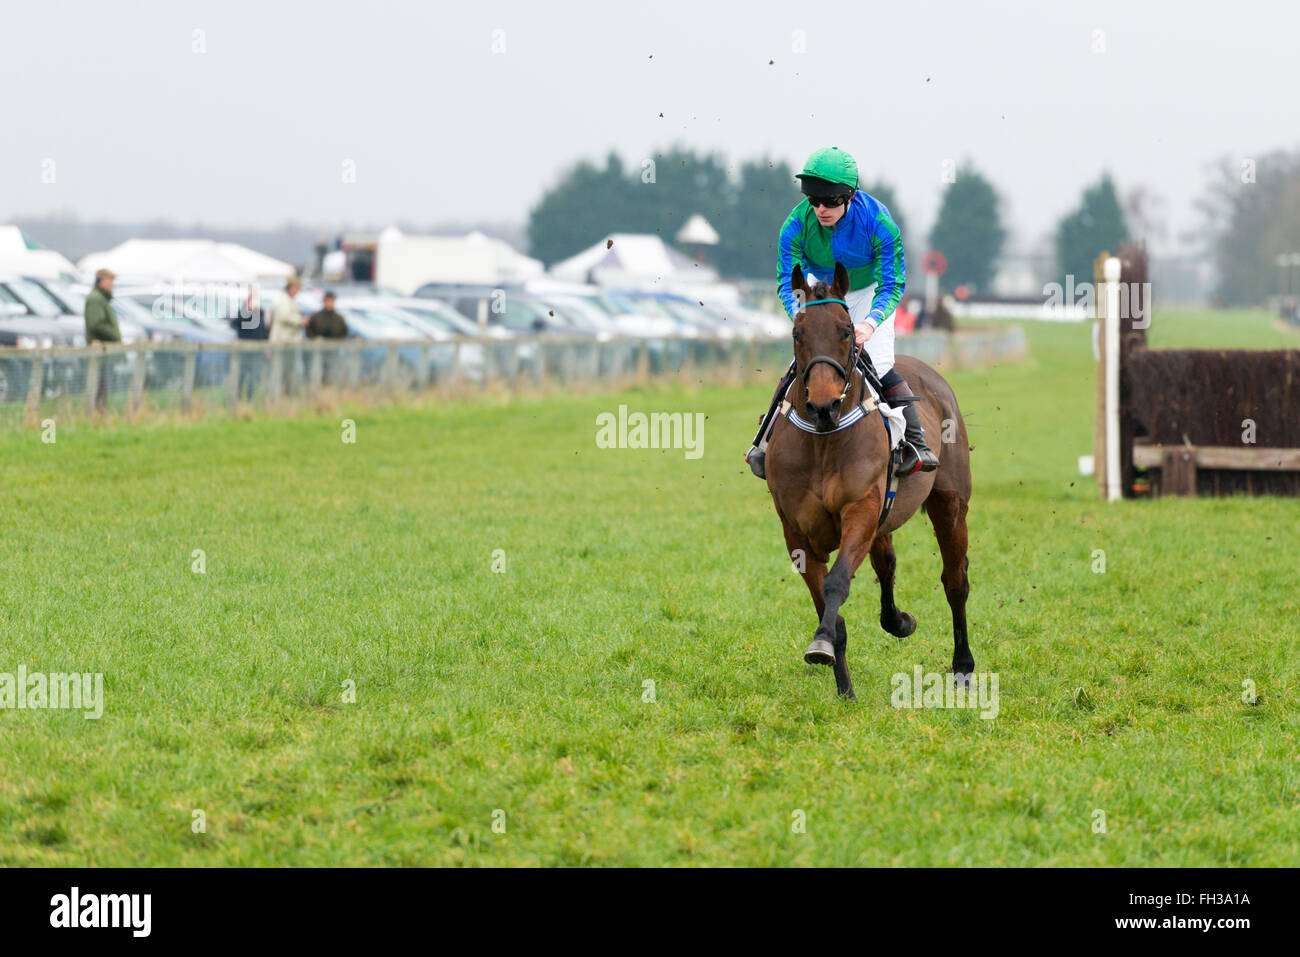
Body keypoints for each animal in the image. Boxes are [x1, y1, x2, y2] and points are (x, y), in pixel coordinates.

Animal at [765, 262, 974, 700]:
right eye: (797, 333)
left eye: (846, 330)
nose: (823, 406)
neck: (824, 440)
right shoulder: (796, 530)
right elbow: (827, 603)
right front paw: (842, 683)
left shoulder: (860, 509)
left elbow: (837, 584)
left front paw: (824, 644)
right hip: (884, 517)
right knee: (888, 564)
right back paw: (899, 621)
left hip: (950, 503)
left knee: (955, 581)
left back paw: (963, 666)